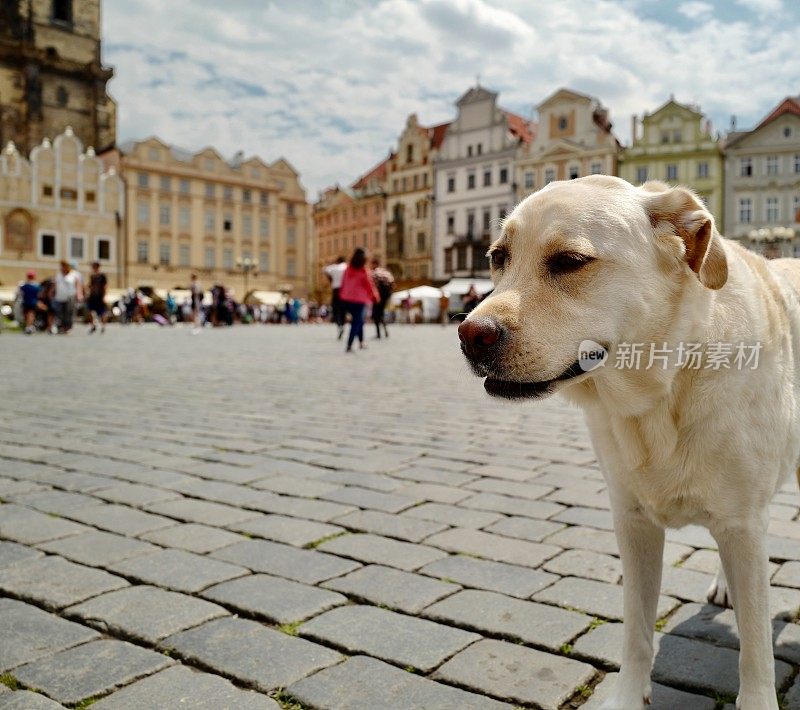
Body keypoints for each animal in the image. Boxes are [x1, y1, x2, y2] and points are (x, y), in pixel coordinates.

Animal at [456, 177, 800, 710]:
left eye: (569, 261)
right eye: (497, 257)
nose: (470, 335)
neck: (660, 395)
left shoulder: (744, 522)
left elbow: (757, 648)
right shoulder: (634, 523)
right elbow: (637, 632)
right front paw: (627, 696)